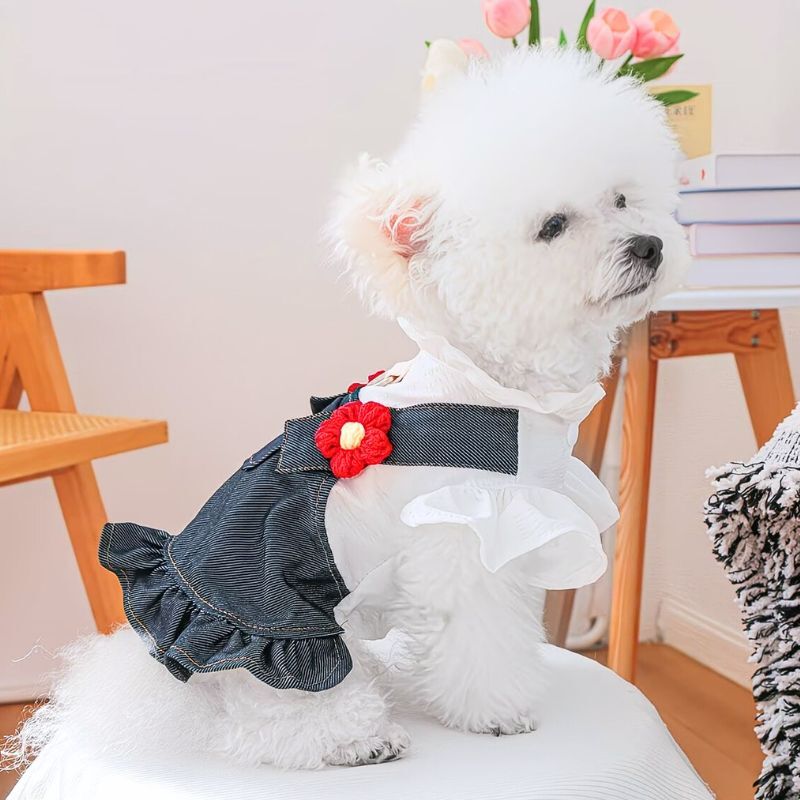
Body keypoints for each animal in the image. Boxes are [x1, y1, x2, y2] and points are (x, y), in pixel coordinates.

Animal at [5, 44, 688, 772]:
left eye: (622, 198)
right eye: (553, 227)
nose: (649, 245)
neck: (489, 380)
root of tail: (165, 670)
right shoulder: (465, 538)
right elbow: (478, 642)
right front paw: (496, 714)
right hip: (288, 645)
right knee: (261, 727)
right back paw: (356, 739)